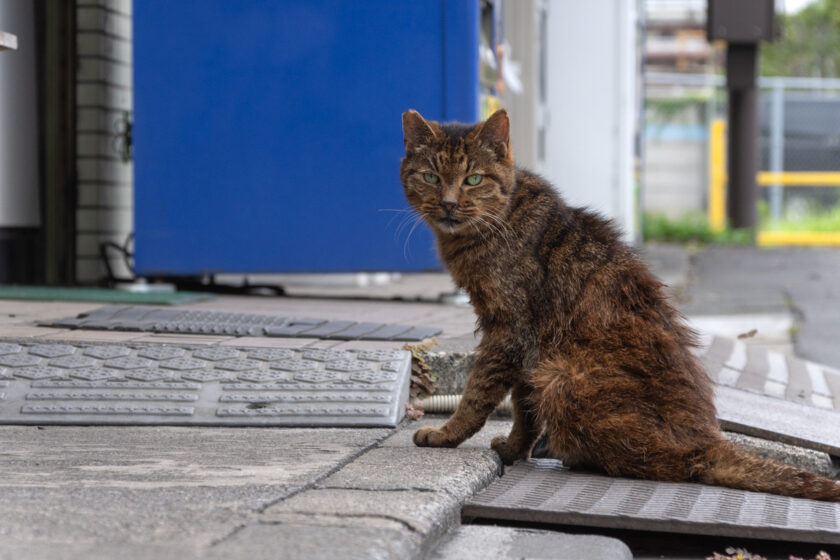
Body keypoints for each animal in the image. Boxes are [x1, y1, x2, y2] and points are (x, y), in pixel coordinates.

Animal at [398, 107, 840, 500]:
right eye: (431, 177)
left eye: (473, 179)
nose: (449, 204)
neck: (494, 223)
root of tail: (709, 440)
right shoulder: (524, 347)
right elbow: (523, 409)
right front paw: (512, 449)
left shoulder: (509, 330)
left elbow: (479, 393)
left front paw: (446, 434)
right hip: (549, 368)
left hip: (560, 377)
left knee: (668, 465)